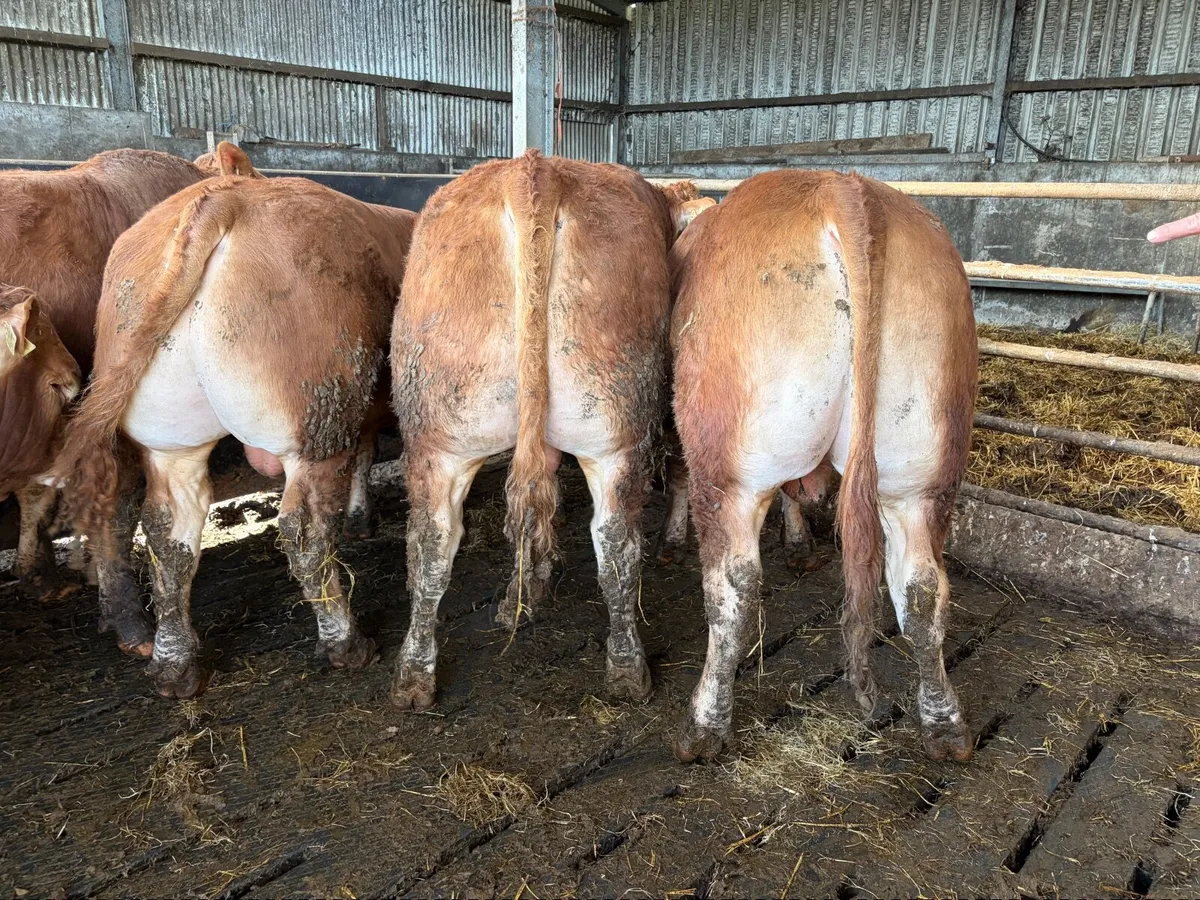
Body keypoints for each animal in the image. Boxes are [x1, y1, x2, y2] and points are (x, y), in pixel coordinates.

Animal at [54, 174, 417, 699]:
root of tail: (224, 197)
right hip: (317, 424)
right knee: (305, 531)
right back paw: (346, 643)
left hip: (171, 440)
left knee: (169, 533)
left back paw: (174, 664)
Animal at [389, 150, 711, 712]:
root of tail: (534, 171)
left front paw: (524, 590)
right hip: (614, 434)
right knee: (617, 544)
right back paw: (628, 669)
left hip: (441, 431)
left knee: (431, 542)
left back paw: (414, 677)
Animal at [668, 169, 978, 765]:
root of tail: (844, 190)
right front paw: (800, 545)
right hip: (919, 471)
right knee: (923, 590)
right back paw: (945, 722)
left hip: (729, 468)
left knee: (733, 591)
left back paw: (703, 724)